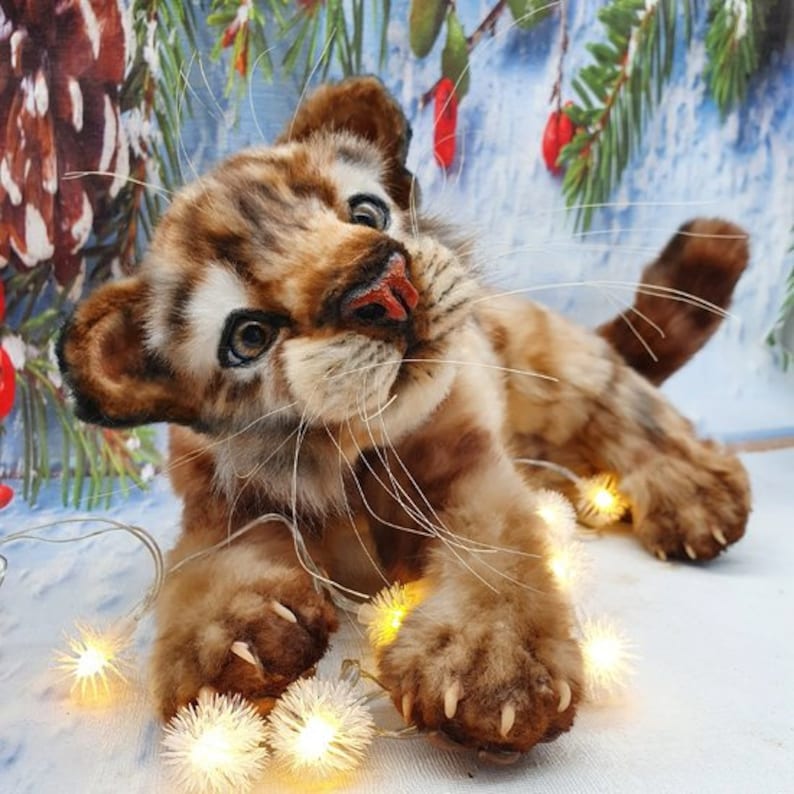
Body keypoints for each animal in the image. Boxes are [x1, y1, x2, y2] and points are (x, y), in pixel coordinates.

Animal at [57, 77, 751, 759]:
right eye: (248, 336)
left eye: (366, 213)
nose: (384, 289)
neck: (346, 458)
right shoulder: (218, 498)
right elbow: (207, 560)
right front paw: (227, 643)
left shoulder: (471, 463)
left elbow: (499, 547)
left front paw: (492, 664)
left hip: (556, 359)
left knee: (630, 406)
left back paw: (694, 493)